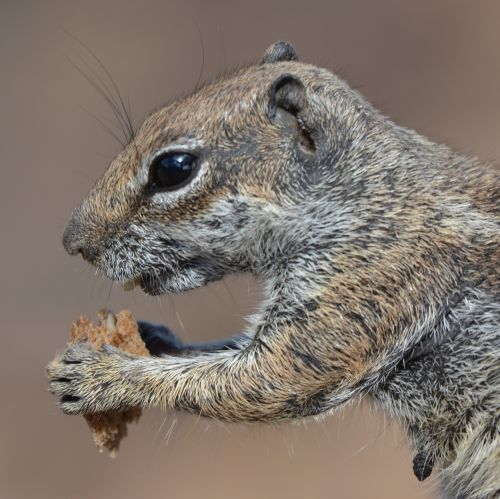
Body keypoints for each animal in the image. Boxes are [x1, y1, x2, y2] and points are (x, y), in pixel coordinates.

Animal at [48, 43, 498, 499]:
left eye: (173, 168)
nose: (72, 242)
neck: (365, 191)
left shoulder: (361, 285)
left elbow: (262, 378)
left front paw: (102, 377)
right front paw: (155, 339)